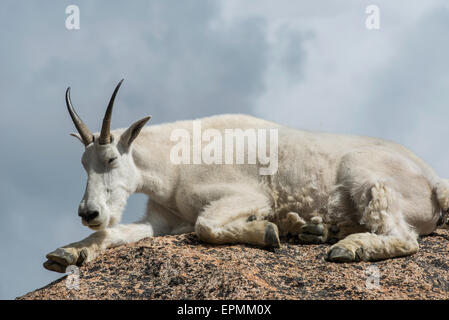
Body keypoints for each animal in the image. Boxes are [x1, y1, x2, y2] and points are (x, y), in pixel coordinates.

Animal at [43, 80, 448, 272]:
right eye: (83, 164)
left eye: (111, 158)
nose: (89, 213)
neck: (172, 168)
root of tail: (433, 181)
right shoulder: (164, 222)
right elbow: (114, 234)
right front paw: (65, 254)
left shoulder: (247, 196)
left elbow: (206, 226)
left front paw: (264, 230)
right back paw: (314, 228)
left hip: (362, 172)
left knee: (404, 237)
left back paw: (345, 245)